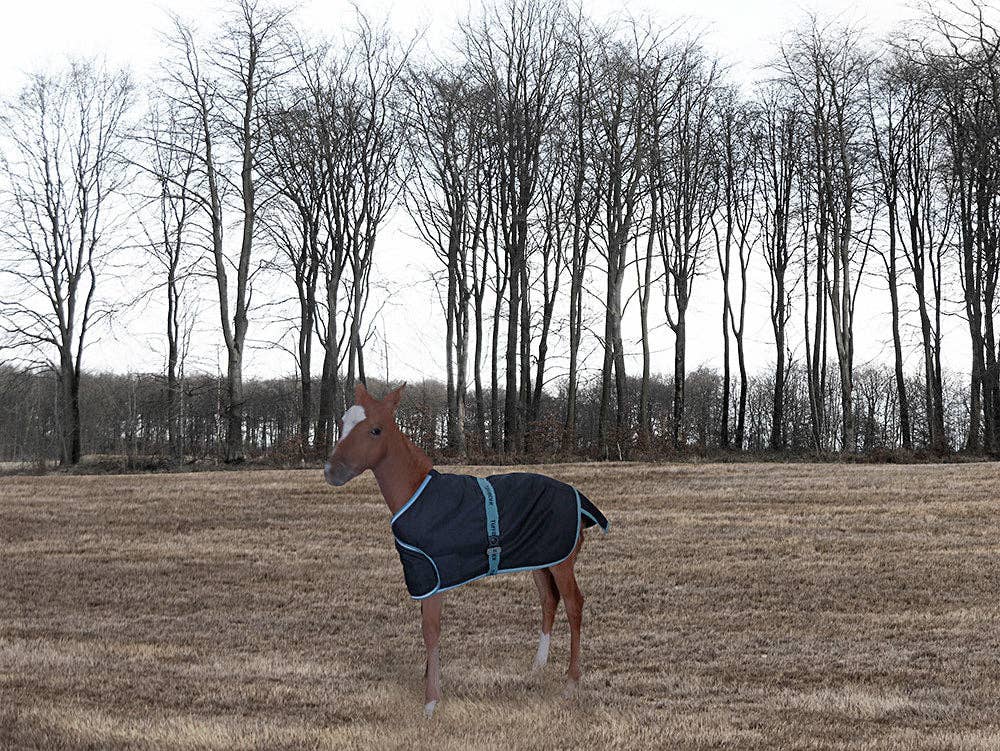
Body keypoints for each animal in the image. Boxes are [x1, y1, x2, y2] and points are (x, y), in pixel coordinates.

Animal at [324, 382, 609, 717]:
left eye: (375, 430)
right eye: (342, 423)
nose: (332, 471)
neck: (415, 493)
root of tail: (580, 500)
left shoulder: (432, 574)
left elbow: (431, 630)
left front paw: (431, 701)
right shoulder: (424, 575)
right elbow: (426, 627)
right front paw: (428, 680)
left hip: (562, 562)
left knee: (574, 603)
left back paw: (571, 681)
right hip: (542, 558)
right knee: (549, 601)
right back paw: (538, 666)